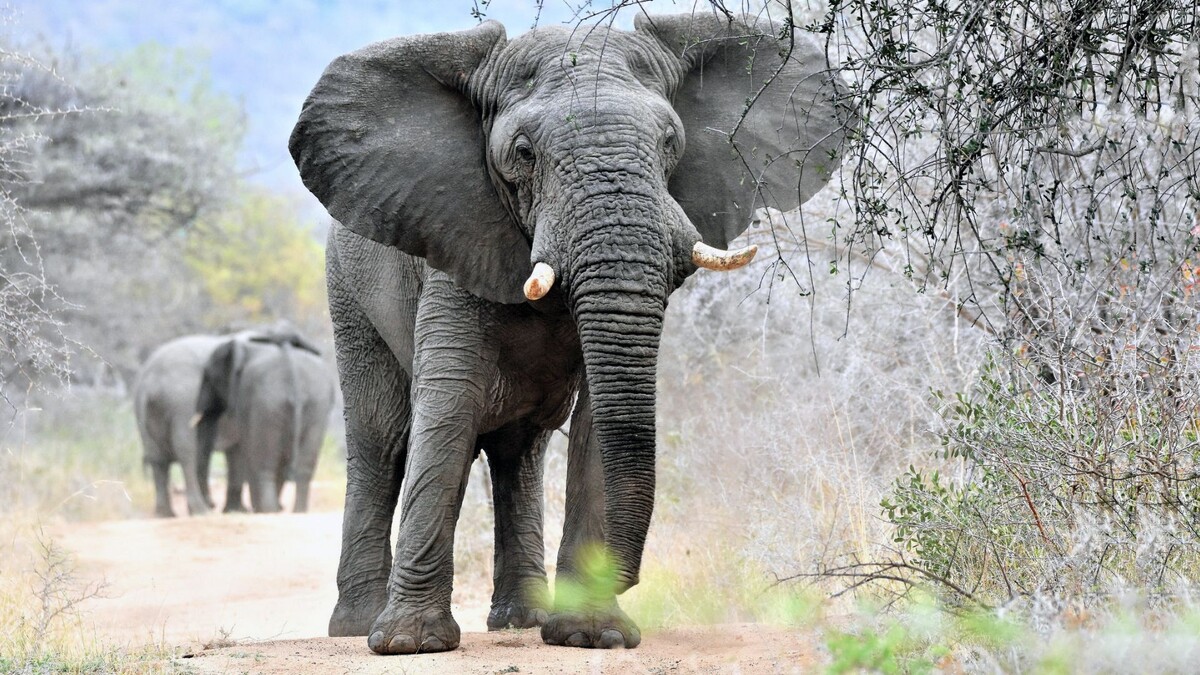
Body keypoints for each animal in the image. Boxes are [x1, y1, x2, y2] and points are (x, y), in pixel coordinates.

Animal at [133, 326, 336, 516]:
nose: (212, 502)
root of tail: (149, 382)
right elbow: (241, 452)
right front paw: (241, 510)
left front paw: (237, 510)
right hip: (181, 402)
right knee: (186, 453)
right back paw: (202, 511)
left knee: (159, 459)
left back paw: (169, 514)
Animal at [289, 11, 846, 654]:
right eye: (523, 152)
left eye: (671, 143)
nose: (627, 579)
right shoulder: (452, 239)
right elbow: (449, 406)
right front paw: (412, 644)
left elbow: (597, 420)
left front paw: (593, 635)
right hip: (346, 291)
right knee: (382, 444)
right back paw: (355, 627)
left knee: (520, 453)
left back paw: (521, 620)